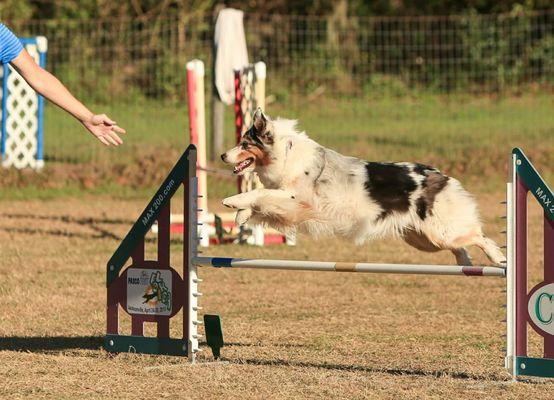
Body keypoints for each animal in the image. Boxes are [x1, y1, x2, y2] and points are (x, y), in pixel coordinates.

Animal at [220, 108, 504, 268]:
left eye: (245, 144)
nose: (222, 156)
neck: (285, 155)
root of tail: (442, 176)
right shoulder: (286, 205)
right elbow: (260, 202)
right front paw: (241, 214)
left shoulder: (294, 199)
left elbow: (260, 193)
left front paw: (233, 201)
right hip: (422, 238)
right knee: (462, 244)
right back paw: (465, 263)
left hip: (440, 232)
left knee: (479, 235)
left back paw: (498, 258)